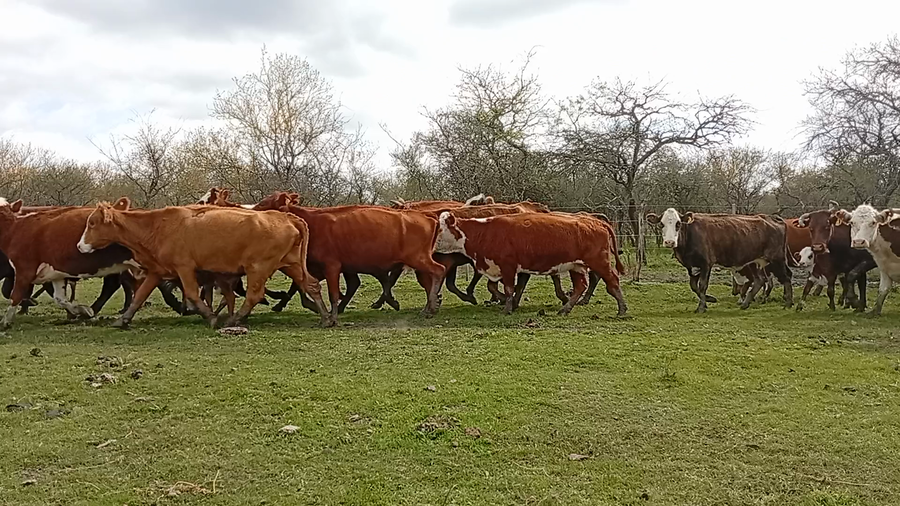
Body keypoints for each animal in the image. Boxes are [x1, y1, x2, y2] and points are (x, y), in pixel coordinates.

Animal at [0, 199, 140, 329]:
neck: (16, 229)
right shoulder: (56, 274)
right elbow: (60, 298)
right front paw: (82, 310)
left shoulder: (24, 270)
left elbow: (15, 295)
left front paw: (6, 321)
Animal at [77, 198, 329, 329]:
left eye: (92, 223)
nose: (79, 246)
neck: (156, 225)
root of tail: (287, 217)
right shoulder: (157, 271)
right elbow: (139, 297)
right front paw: (122, 320)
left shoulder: (185, 268)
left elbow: (192, 294)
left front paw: (211, 316)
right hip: (291, 264)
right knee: (311, 285)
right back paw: (327, 317)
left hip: (258, 268)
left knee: (254, 295)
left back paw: (234, 318)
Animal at [251, 192, 447, 326]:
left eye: (264, 203)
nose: (250, 213)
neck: (312, 222)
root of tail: (427, 215)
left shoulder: (331, 266)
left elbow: (333, 294)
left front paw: (332, 318)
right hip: (419, 261)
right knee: (430, 279)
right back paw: (429, 306)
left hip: (419, 259)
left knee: (439, 271)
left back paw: (430, 308)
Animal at [433, 211, 627, 316]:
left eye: (440, 229)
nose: (431, 245)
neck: (486, 232)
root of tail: (595, 221)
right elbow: (496, 287)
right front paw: (507, 302)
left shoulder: (508, 266)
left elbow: (509, 288)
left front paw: (507, 307)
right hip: (576, 266)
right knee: (581, 286)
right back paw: (565, 309)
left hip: (599, 262)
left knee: (612, 281)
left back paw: (622, 309)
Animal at [646, 209, 793, 312]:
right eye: (661, 224)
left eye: (678, 224)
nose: (669, 242)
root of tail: (772, 217)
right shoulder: (692, 266)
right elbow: (694, 286)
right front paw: (709, 300)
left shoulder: (706, 264)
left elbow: (702, 285)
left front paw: (701, 307)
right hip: (754, 261)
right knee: (760, 280)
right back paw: (745, 304)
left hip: (777, 259)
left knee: (786, 277)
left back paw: (788, 304)